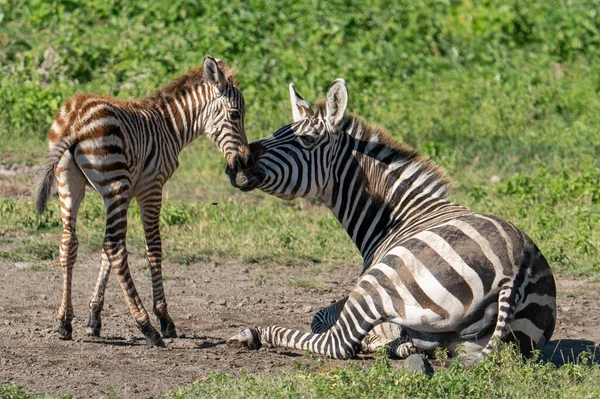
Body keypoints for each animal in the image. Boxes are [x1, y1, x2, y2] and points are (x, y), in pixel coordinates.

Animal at [35, 56, 248, 346]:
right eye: (235, 114)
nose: (244, 163)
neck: (169, 126)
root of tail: (76, 118)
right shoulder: (150, 187)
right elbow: (153, 249)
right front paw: (165, 318)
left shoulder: (125, 192)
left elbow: (103, 254)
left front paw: (94, 317)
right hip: (115, 182)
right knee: (115, 247)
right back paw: (147, 327)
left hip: (71, 184)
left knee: (70, 243)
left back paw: (64, 322)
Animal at [227, 79, 556, 366]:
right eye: (278, 132)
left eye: (306, 140)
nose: (236, 164)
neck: (396, 216)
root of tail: (515, 272)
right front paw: (390, 343)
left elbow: (320, 316)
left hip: (382, 279)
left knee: (337, 343)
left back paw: (254, 333)